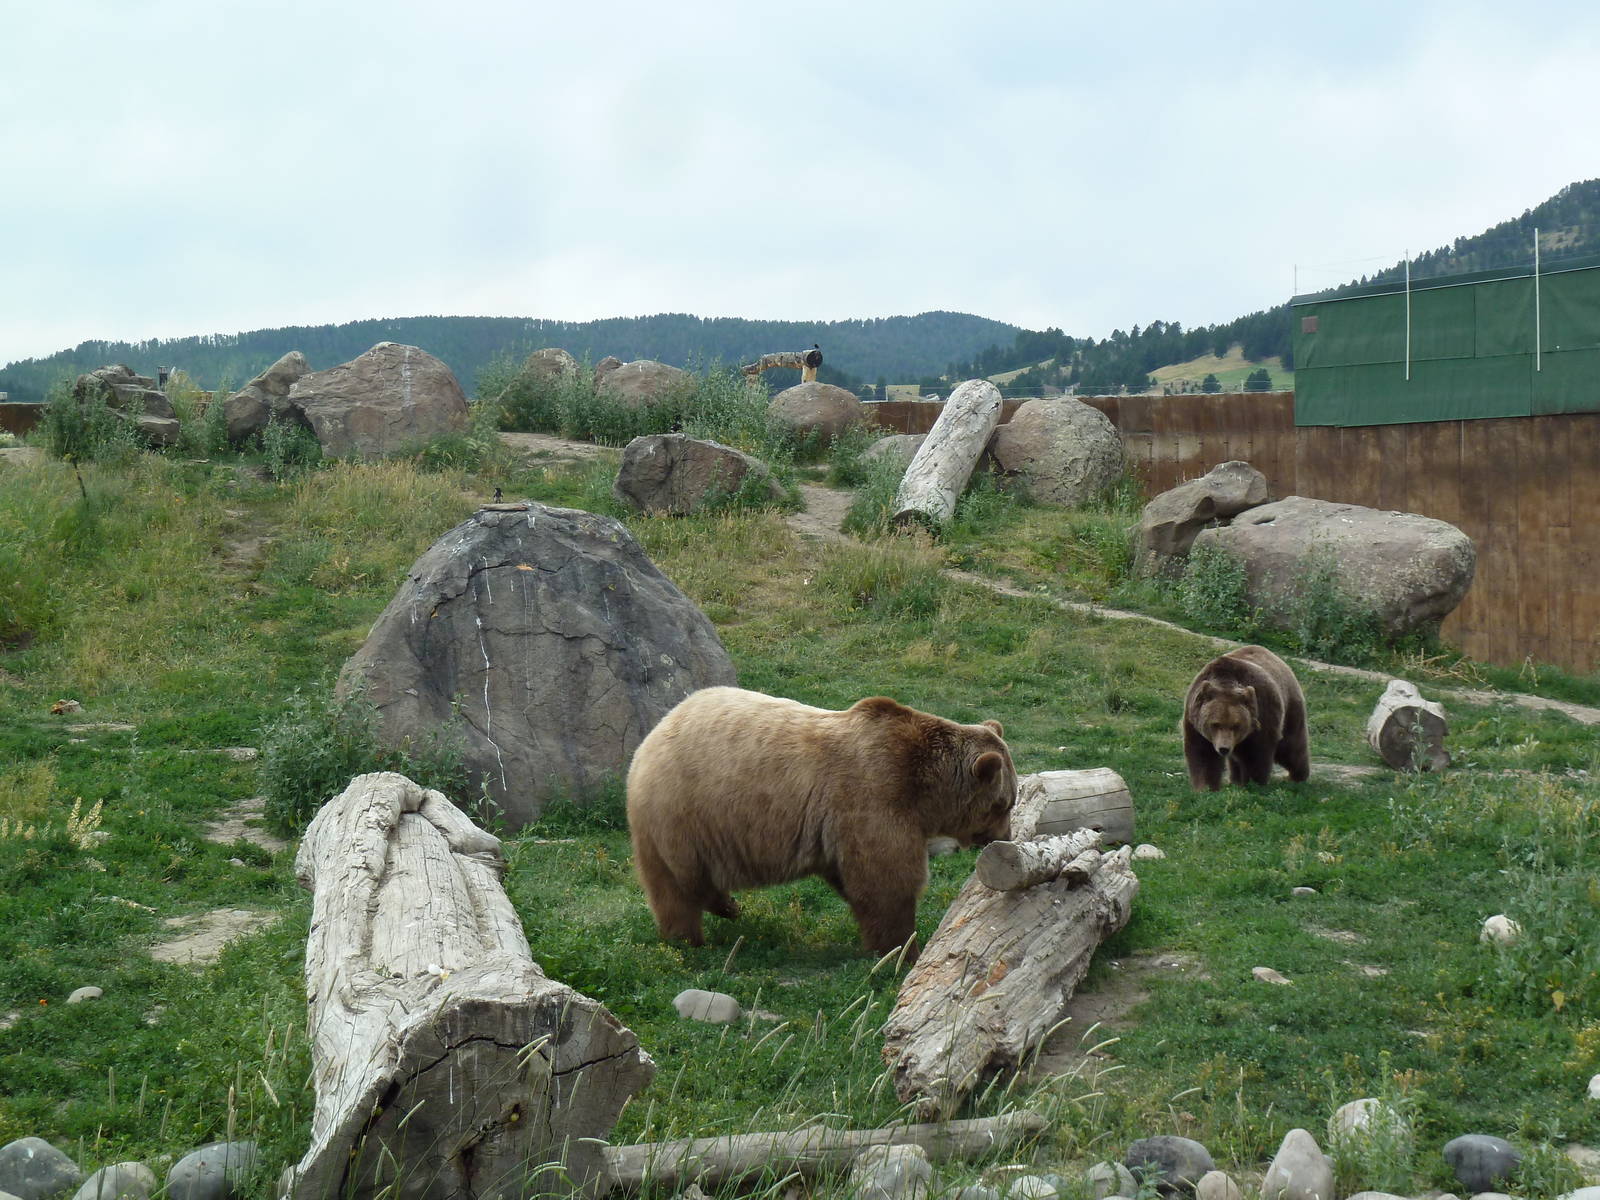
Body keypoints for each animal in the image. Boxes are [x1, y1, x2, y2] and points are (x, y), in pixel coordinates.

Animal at [626, 686, 1018, 958]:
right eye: (1004, 803)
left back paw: (725, 908)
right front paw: (902, 950)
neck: (924, 787)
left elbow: (855, 880)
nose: (1003, 836)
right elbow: (887, 882)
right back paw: (692, 935)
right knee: (677, 887)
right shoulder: (875, 796)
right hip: (682, 814)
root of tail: (650, 739)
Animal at [1183, 644, 1310, 790]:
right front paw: (1206, 787)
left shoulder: (1262, 712)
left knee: (1290, 747)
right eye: (1215, 724)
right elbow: (1203, 754)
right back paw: (1235, 780)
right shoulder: (1195, 719)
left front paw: (1253, 784)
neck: (1225, 681)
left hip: (1289, 707)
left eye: (1236, 725)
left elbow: (1256, 754)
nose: (1224, 748)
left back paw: (1298, 776)